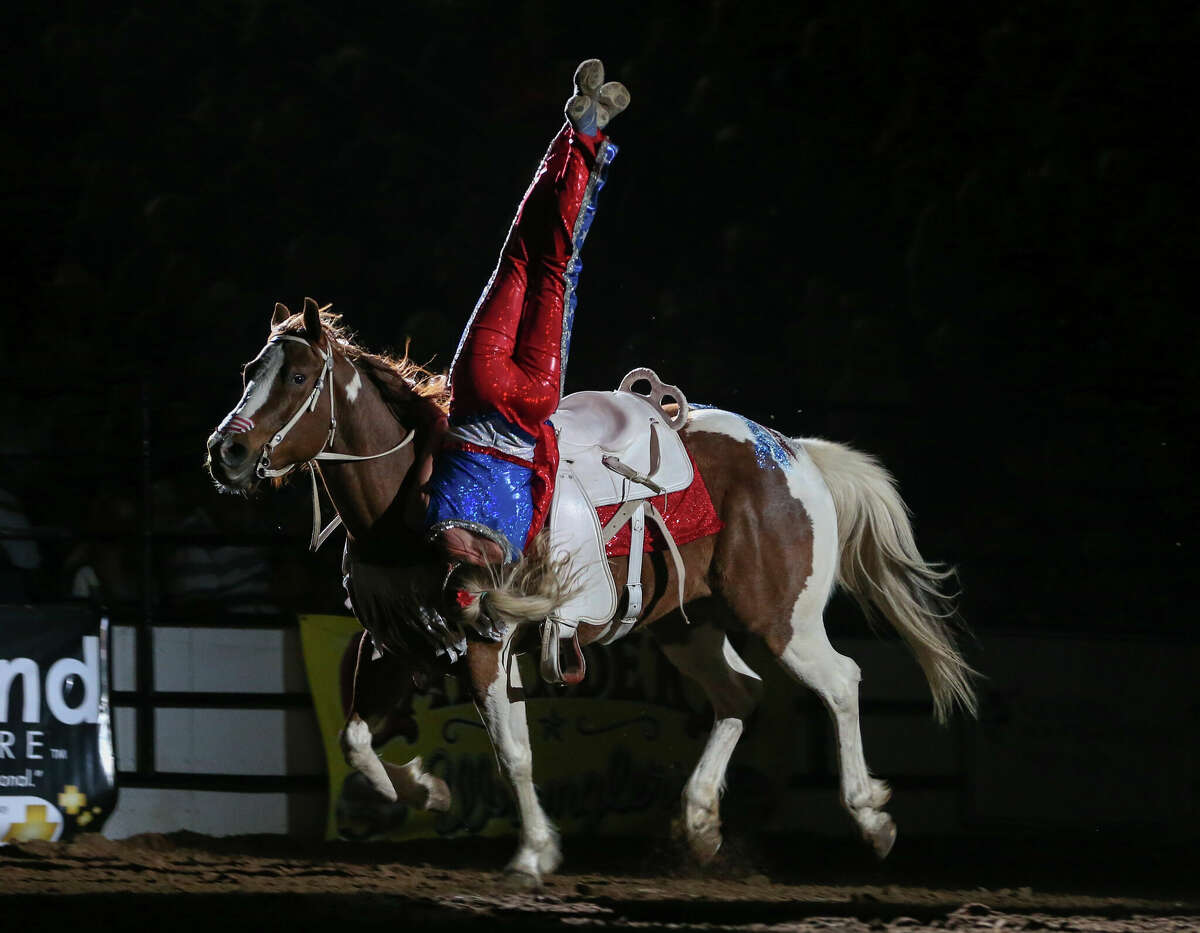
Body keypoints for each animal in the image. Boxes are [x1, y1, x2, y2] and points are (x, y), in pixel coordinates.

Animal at [206, 296, 974, 877]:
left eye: (298, 377)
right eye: (249, 369)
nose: (227, 451)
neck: (413, 501)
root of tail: (791, 453)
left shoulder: (485, 641)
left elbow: (512, 750)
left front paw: (534, 853)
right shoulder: (396, 642)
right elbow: (357, 740)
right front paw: (429, 790)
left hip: (782, 616)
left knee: (840, 681)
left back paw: (870, 819)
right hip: (685, 623)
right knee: (738, 695)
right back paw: (700, 823)